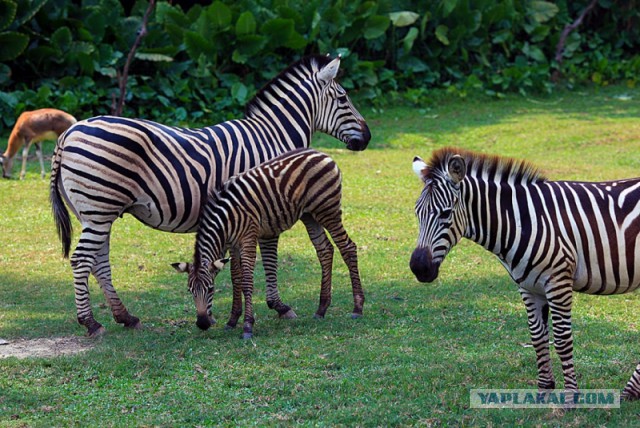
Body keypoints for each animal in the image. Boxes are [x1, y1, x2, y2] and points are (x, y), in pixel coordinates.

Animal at [172, 149, 364, 340]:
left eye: (211, 289)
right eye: (190, 291)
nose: (202, 324)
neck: (225, 218)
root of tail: (321, 153)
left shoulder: (248, 237)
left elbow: (247, 280)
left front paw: (247, 325)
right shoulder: (233, 244)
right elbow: (236, 277)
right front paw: (232, 320)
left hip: (327, 210)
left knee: (347, 247)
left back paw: (357, 308)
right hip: (309, 215)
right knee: (325, 250)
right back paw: (321, 309)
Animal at [410, 149, 640, 400]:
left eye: (446, 214)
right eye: (417, 213)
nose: (418, 268)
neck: (522, 222)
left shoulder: (558, 282)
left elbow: (561, 339)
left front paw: (570, 398)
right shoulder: (528, 287)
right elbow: (538, 337)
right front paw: (543, 391)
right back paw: (631, 390)